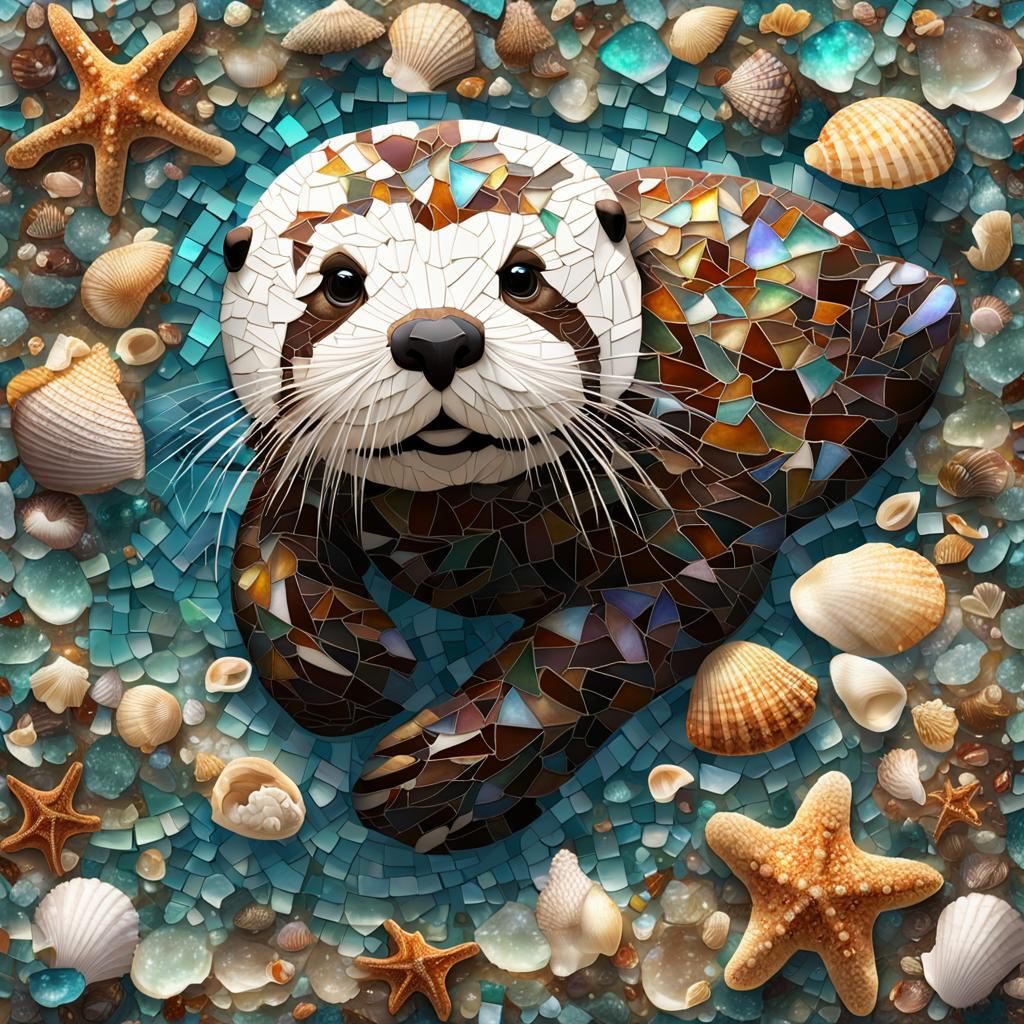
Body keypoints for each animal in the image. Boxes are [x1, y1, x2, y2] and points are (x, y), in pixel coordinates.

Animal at [219, 119, 959, 853]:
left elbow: (599, 644)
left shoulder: (694, 505)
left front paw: (433, 784)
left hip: (905, 318)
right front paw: (347, 667)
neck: (463, 520)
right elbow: (265, 546)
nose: (436, 338)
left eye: (523, 277)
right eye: (341, 283)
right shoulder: (305, 463)